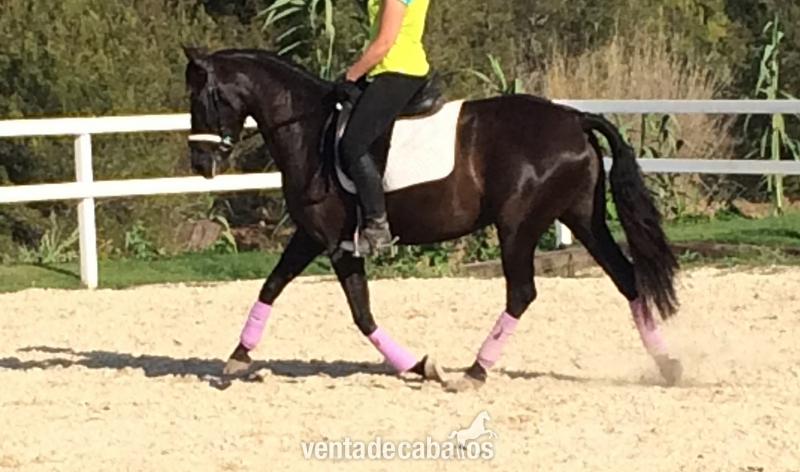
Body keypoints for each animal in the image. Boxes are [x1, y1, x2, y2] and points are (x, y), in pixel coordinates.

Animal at [181, 45, 683, 391]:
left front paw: (422, 366)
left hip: (518, 227)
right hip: (582, 218)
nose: (200, 163)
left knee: (522, 292)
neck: (307, 128)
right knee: (627, 279)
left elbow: (361, 313)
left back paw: (476, 371)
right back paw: (669, 365)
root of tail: (575, 118)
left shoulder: (335, 241)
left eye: (200, 99)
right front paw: (238, 355)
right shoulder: (310, 235)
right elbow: (272, 286)